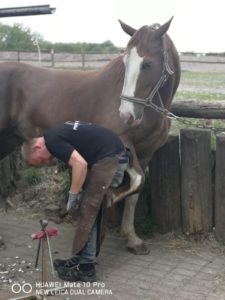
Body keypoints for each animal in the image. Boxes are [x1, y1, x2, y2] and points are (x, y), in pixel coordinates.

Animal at [0, 17, 180, 254]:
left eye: (147, 64)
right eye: (125, 62)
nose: (126, 114)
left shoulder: (146, 153)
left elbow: (136, 193)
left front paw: (133, 239)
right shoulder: (122, 143)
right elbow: (135, 181)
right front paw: (111, 200)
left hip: (8, 139)